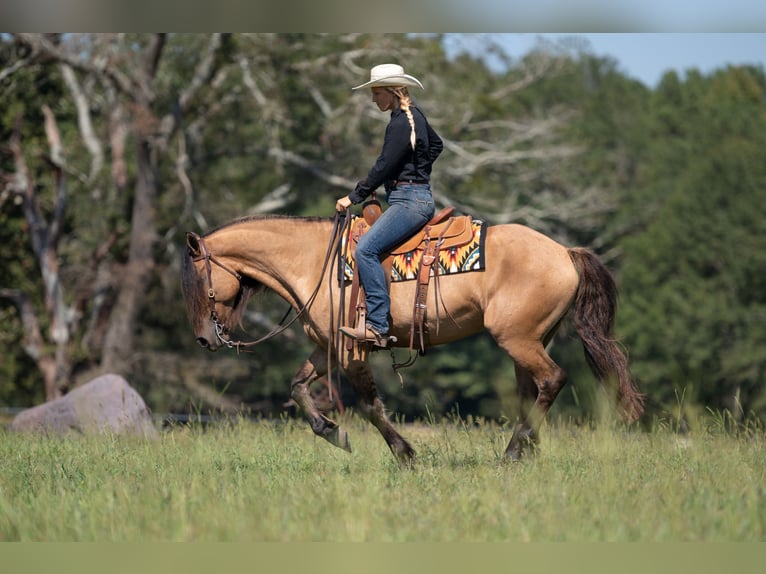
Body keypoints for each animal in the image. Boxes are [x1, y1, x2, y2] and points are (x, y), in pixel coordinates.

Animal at [183, 214, 644, 466]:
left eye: (199, 280)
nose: (204, 340)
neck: (314, 262)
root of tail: (565, 252)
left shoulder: (352, 350)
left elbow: (371, 406)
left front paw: (404, 454)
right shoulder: (326, 345)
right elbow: (297, 386)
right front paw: (332, 432)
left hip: (518, 340)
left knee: (552, 381)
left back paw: (513, 453)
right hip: (530, 342)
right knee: (531, 391)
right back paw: (527, 450)